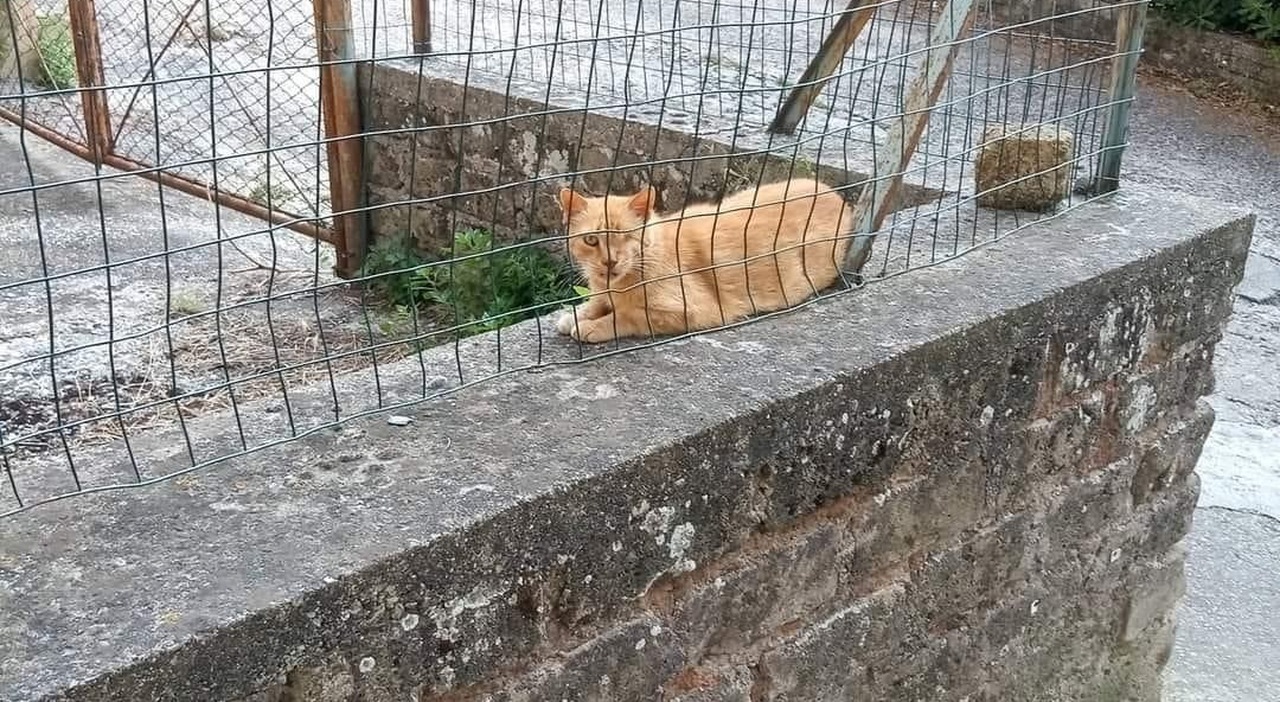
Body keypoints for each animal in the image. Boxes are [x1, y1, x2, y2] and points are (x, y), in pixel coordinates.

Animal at [555, 178, 855, 343]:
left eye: (626, 236)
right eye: (591, 240)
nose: (610, 262)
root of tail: (835, 194)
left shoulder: (695, 311)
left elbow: (630, 315)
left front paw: (592, 326)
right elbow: (596, 303)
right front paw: (577, 315)